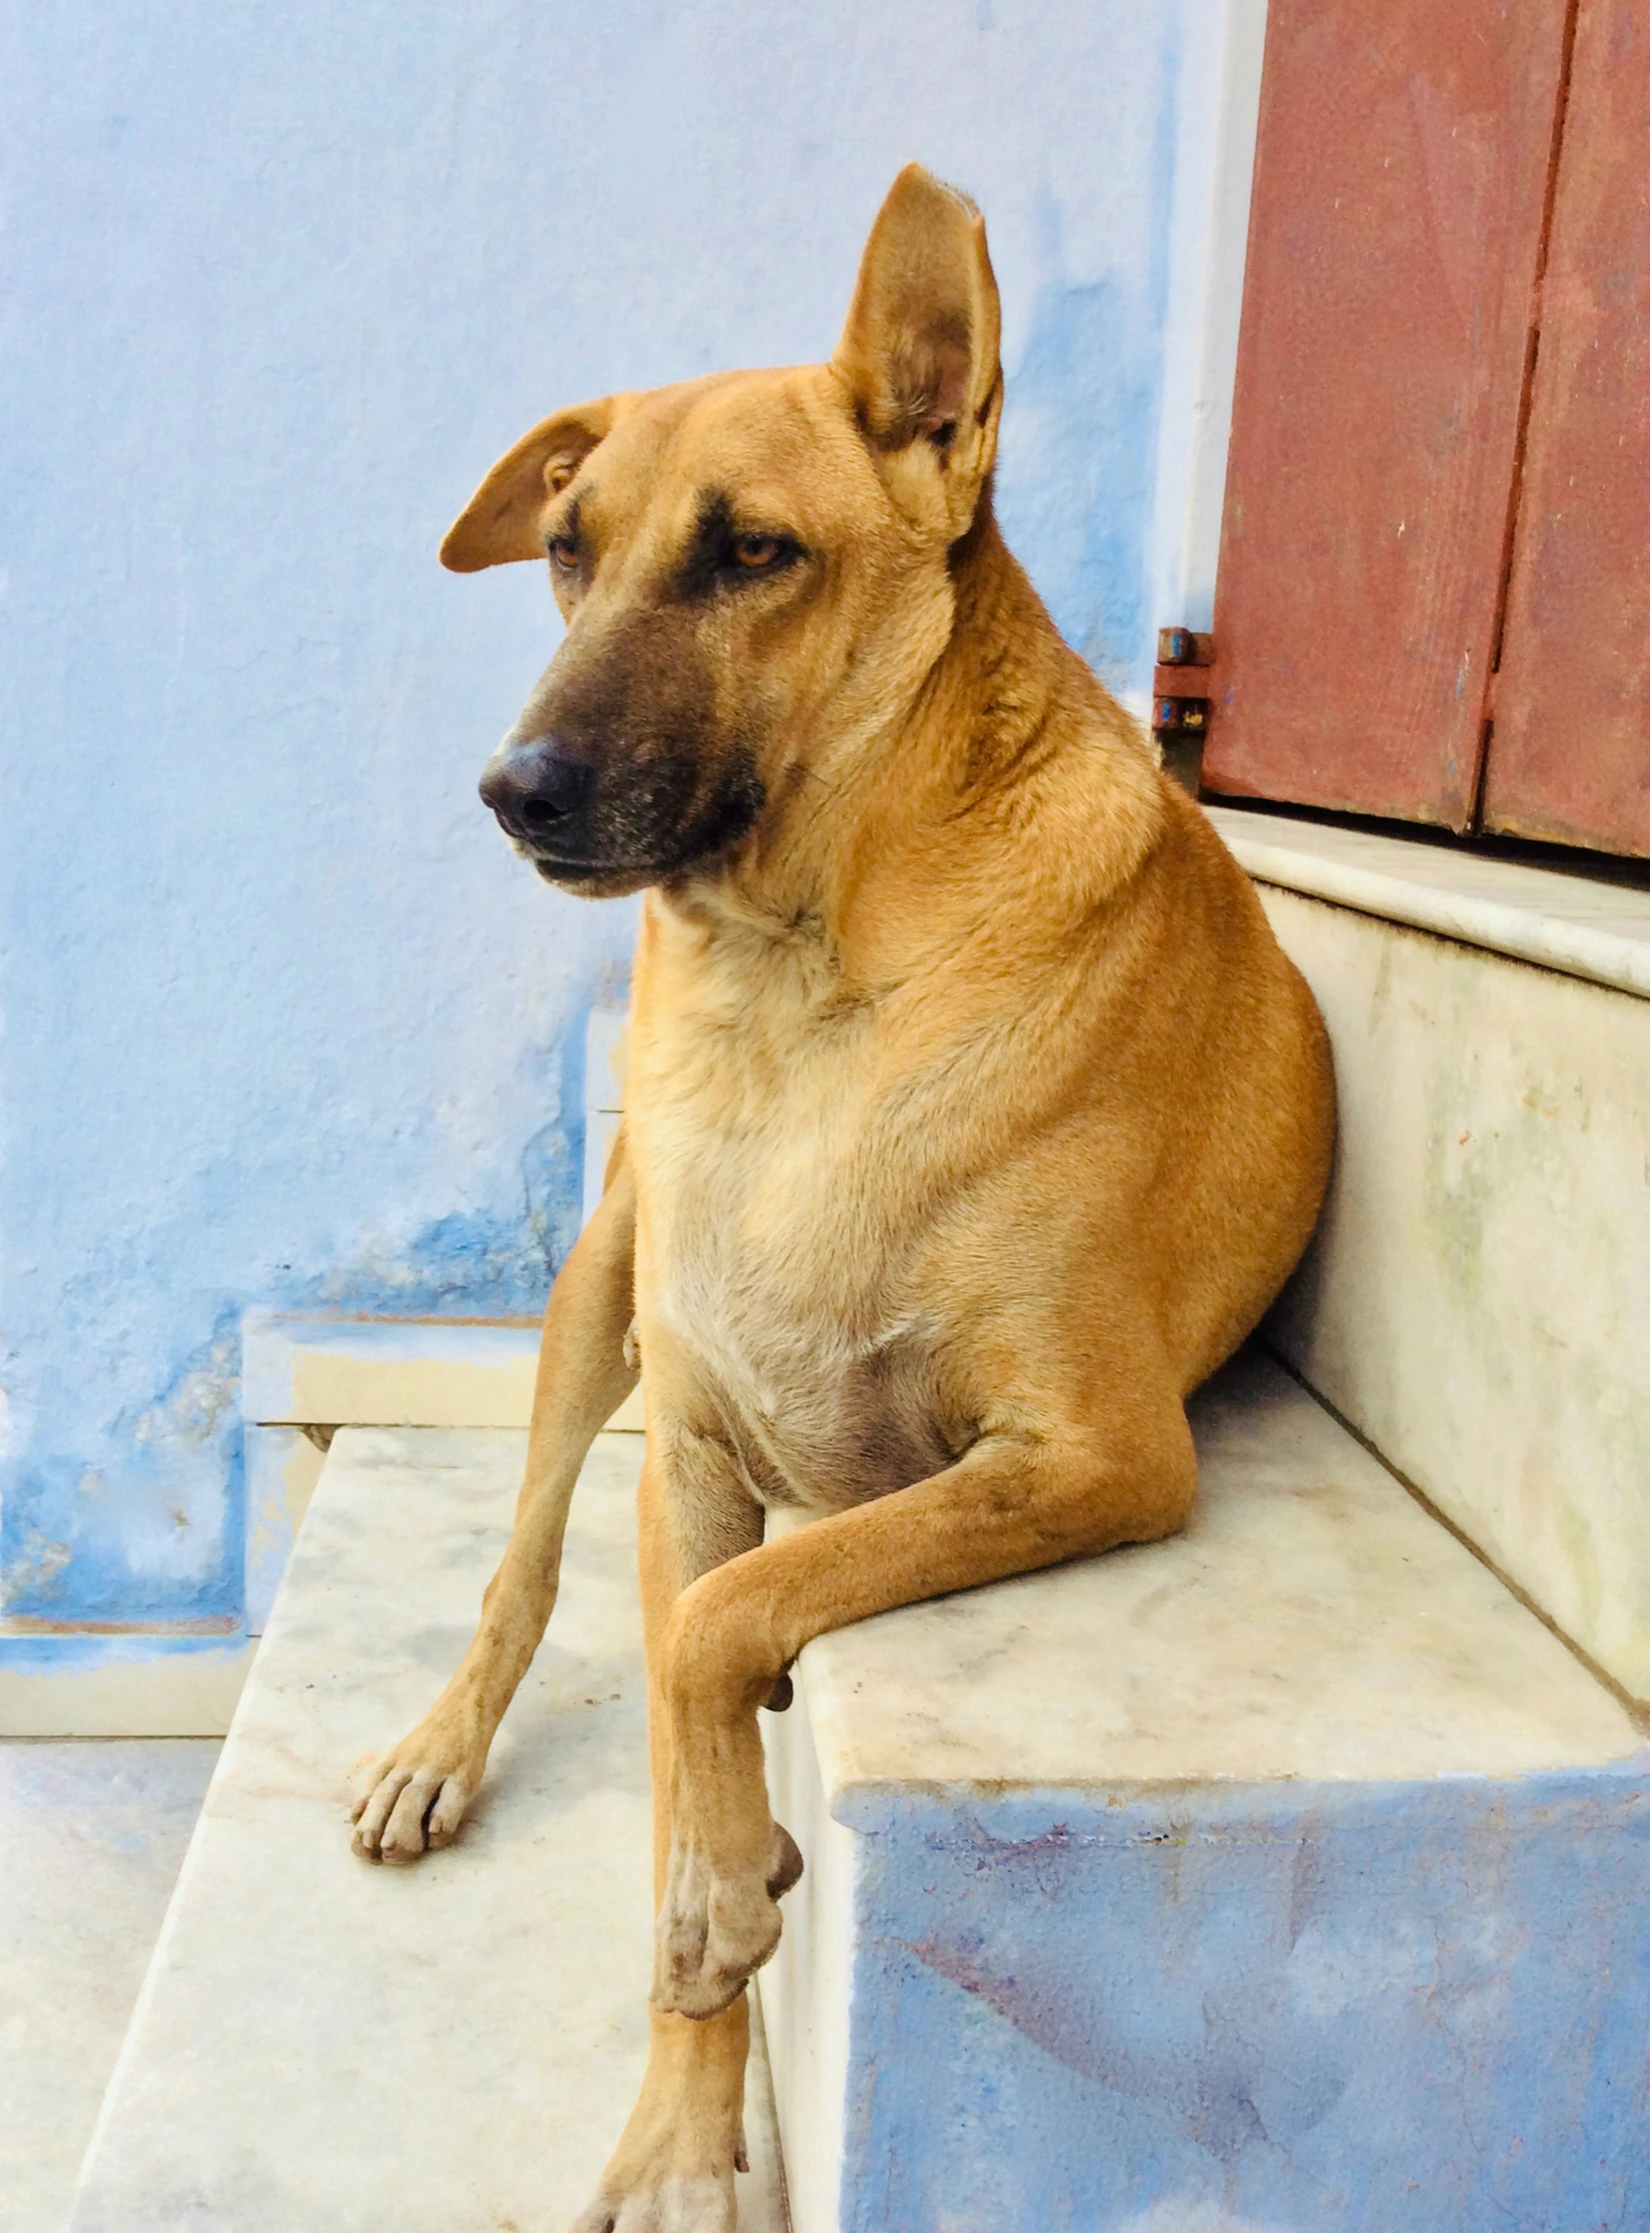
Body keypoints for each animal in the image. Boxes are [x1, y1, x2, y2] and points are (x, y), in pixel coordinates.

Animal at [352, 165, 1339, 2224]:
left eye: (753, 553)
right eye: (565, 551)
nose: (512, 789)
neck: (800, 983)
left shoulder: (1095, 1448)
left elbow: (731, 1624)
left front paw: (723, 1901)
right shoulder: (686, 1453)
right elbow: (676, 1676)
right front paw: (680, 2116)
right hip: (595, 1295)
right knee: (521, 1559)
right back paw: (440, 1745)